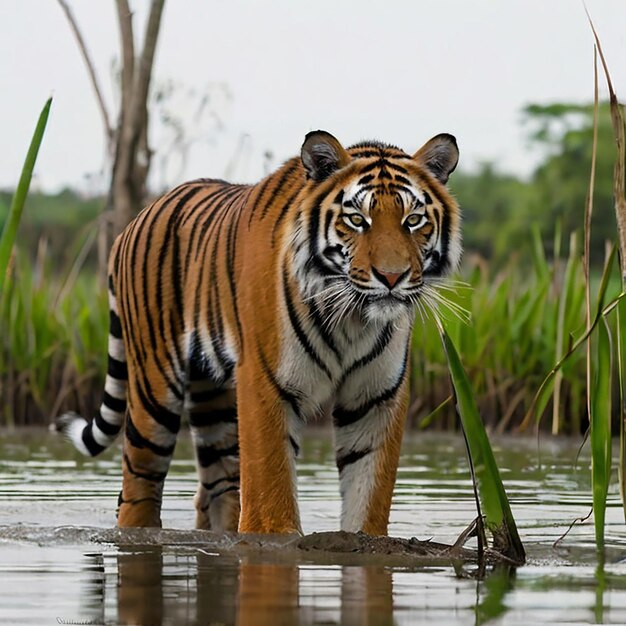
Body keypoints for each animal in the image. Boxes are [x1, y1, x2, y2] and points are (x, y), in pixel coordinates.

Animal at [57, 129, 458, 532]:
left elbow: (367, 494)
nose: (392, 277)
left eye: (413, 220)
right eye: (358, 220)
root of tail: (135, 221)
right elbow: (270, 487)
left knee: (217, 486)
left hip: (213, 399)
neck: (352, 319)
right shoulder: (266, 383)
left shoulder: (376, 397)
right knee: (139, 486)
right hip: (154, 390)